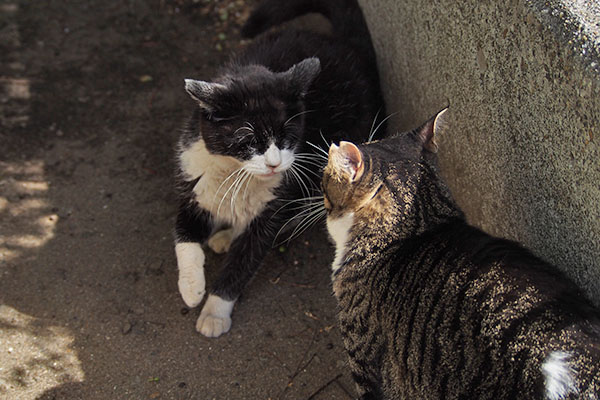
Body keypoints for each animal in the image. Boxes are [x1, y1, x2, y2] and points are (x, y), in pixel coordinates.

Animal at [173, 0, 384, 338]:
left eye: (287, 136)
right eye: (248, 141)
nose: (274, 163)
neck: (235, 174)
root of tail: (348, 44)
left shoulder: (275, 206)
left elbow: (245, 260)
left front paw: (215, 311)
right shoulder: (194, 179)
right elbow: (184, 235)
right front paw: (192, 287)